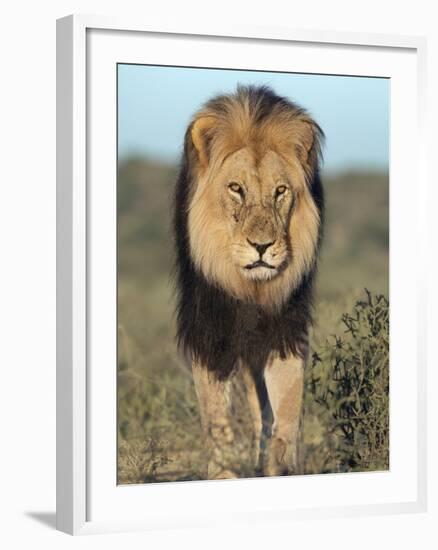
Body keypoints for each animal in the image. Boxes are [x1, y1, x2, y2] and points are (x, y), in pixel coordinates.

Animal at [173, 84, 324, 480]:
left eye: (280, 191)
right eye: (236, 189)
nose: (262, 246)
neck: (251, 288)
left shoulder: (286, 327)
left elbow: (286, 407)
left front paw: (281, 468)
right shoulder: (211, 329)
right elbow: (216, 414)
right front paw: (223, 473)